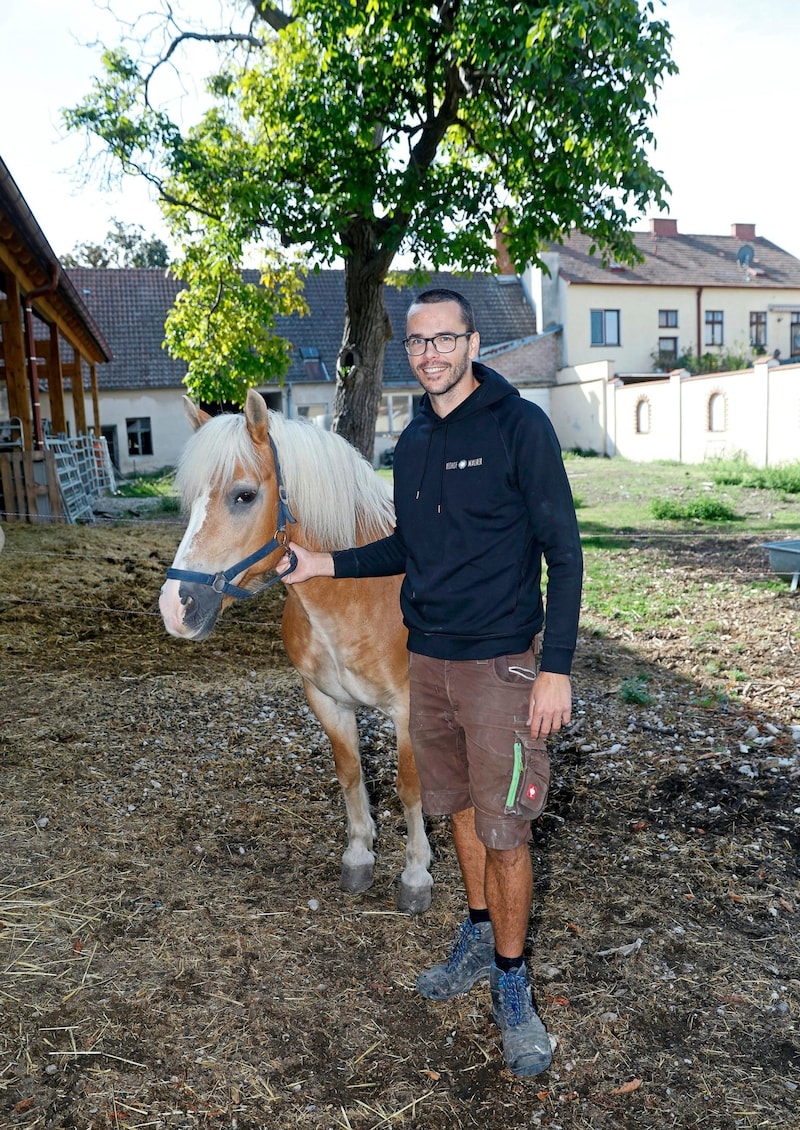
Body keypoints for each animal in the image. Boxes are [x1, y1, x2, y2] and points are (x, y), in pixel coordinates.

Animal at [160, 393, 433, 913]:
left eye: (244, 496)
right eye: (191, 500)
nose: (175, 606)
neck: (359, 595)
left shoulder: (410, 709)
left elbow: (410, 788)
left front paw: (415, 874)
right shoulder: (326, 701)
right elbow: (350, 774)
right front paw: (358, 857)